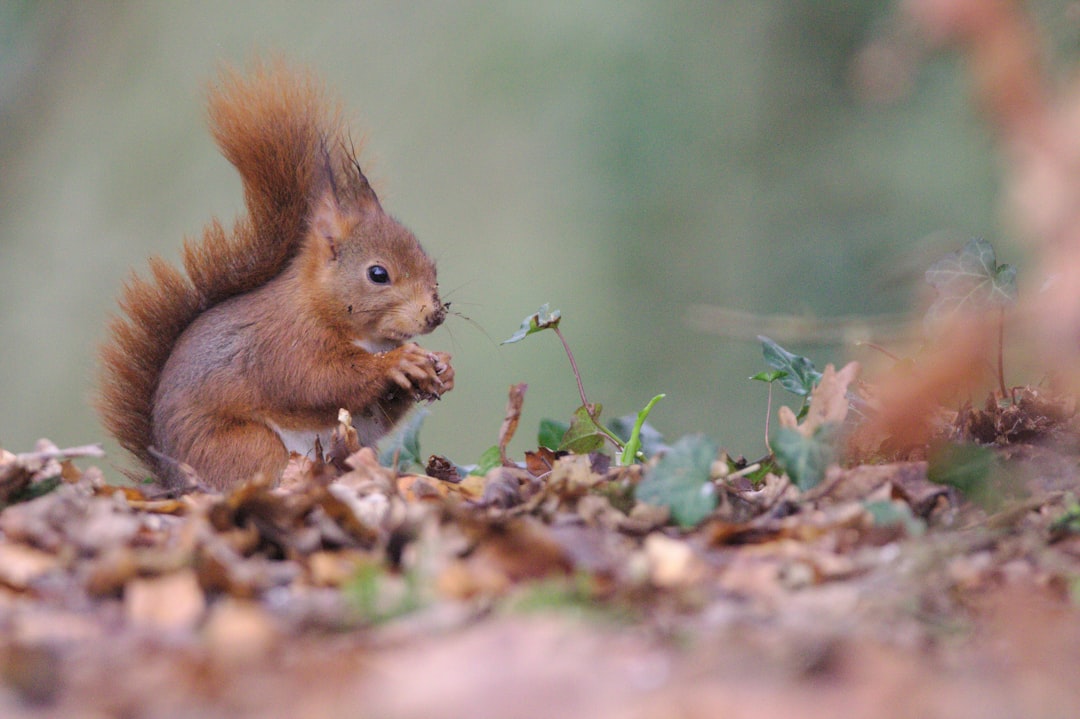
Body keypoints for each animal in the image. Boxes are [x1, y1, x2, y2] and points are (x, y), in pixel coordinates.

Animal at [97, 58, 455, 490]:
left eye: (432, 265)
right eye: (378, 274)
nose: (434, 315)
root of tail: (174, 482)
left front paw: (442, 368)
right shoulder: (283, 346)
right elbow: (322, 380)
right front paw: (397, 364)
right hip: (247, 446)